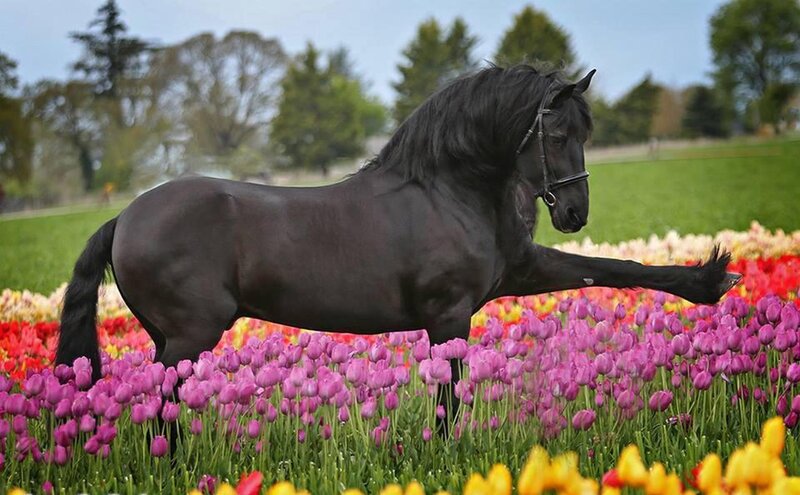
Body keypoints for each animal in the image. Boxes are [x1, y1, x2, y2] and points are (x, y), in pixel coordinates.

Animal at [56, 65, 741, 415]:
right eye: (555, 131)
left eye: (587, 131)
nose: (575, 210)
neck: (447, 189)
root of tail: (126, 217)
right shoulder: (450, 316)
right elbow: (448, 400)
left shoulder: (520, 271)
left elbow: (615, 267)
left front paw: (708, 280)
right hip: (190, 336)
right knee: (161, 407)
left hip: (170, 338)